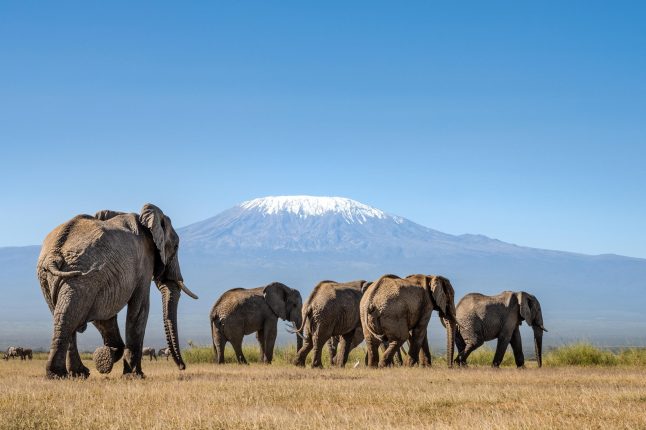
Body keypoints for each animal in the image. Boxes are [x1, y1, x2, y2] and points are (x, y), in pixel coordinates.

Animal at [34, 203, 197, 378]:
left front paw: (107, 357)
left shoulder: (104, 279)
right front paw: (134, 375)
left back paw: (76, 374)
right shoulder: (144, 261)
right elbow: (140, 308)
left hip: (56, 277)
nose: (182, 367)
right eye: (176, 246)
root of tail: (55, 253)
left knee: (64, 314)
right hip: (80, 276)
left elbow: (104, 316)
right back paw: (61, 374)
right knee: (71, 315)